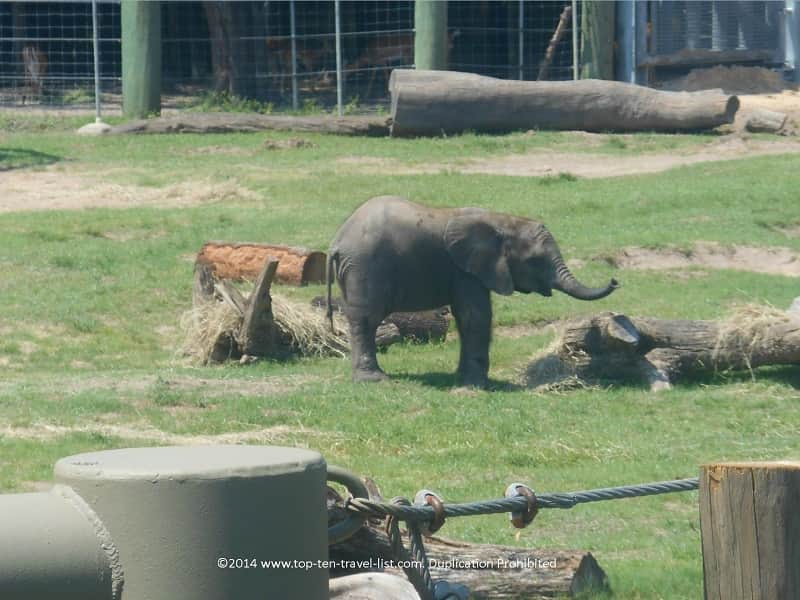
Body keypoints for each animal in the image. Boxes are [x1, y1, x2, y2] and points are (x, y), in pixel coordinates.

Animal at [326, 196, 618, 387]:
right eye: (535, 261)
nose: (615, 281)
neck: (502, 220)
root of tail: (337, 242)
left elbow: (467, 317)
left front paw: (463, 378)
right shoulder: (467, 270)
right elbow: (475, 316)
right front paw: (477, 383)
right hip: (365, 267)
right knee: (367, 320)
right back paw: (373, 380)